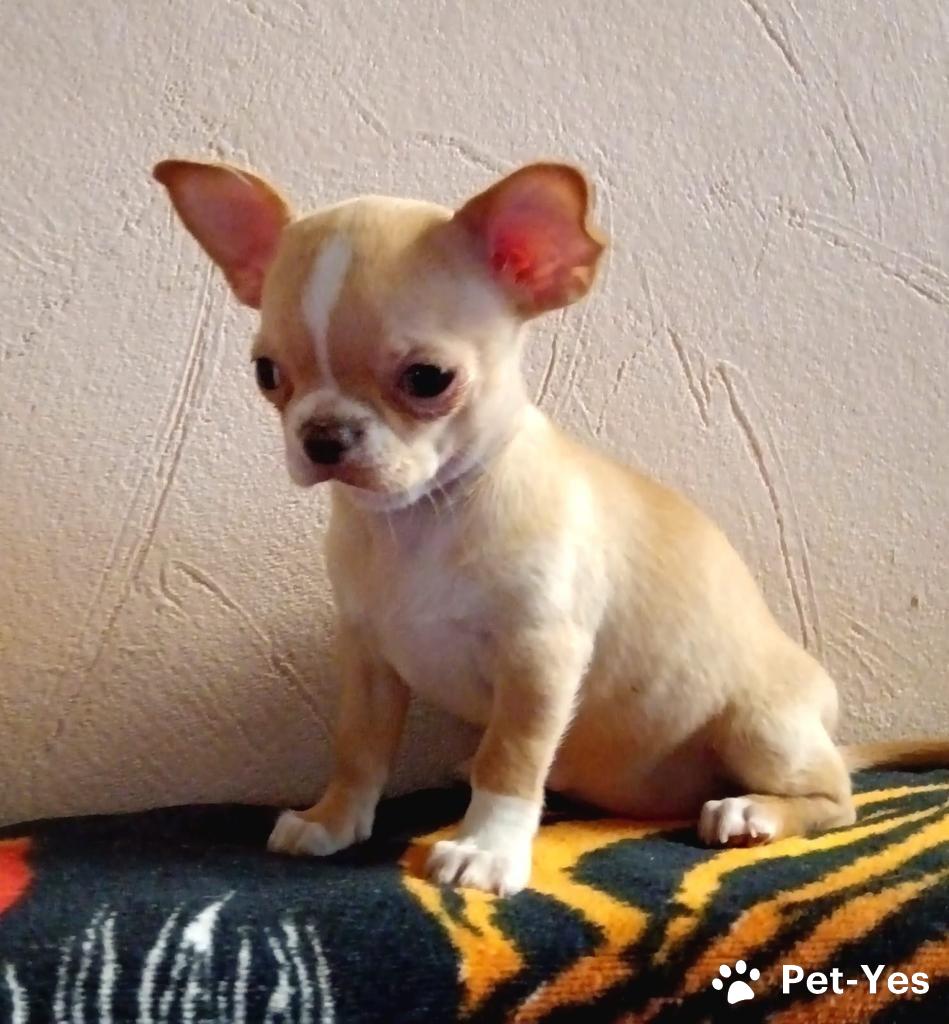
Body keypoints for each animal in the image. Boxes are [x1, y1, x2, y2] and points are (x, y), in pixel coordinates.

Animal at [154, 157, 949, 895]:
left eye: (428, 380)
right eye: (266, 373)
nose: (322, 435)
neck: (420, 523)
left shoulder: (540, 660)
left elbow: (511, 759)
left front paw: (485, 849)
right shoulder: (369, 660)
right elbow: (358, 748)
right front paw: (332, 820)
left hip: (761, 726)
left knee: (837, 800)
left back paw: (750, 811)